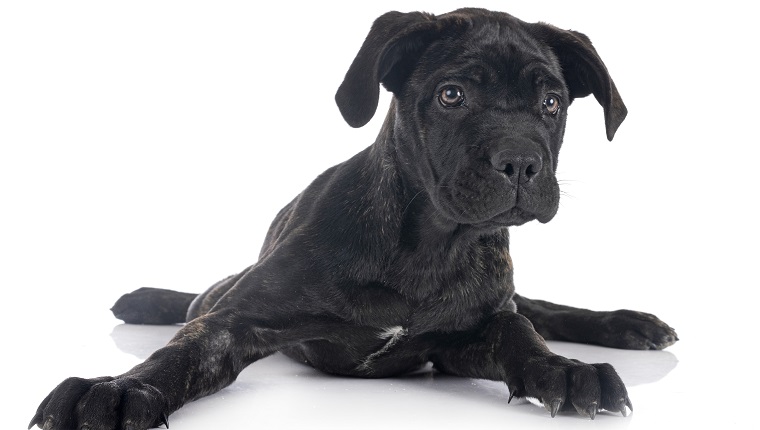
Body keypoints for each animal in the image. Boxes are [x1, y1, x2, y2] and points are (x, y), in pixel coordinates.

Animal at [32, 7, 680, 430]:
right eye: (451, 95)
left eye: (551, 103)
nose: (521, 162)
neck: (430, 242)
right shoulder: (240, 318)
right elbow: (186, 351)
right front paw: (117, 388)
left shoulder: (467, 335)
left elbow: (520, 332)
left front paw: (561, 369)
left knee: (537, 308)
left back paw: (630, 324)